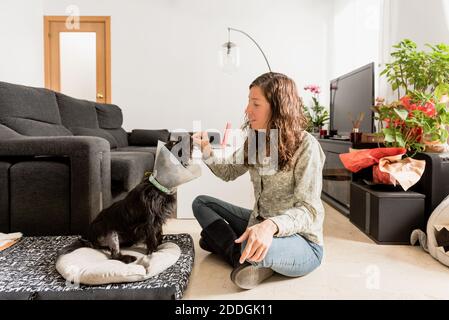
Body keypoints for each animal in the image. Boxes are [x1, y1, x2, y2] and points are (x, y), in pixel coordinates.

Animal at [58, 135, 192, 262]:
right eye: (175, 143)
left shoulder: (158, 220)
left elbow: (159, 234)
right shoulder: (149, 221)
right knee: (114, 255)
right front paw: (154, 252)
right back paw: (128, 258)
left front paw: (161, 246)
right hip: (110, 231)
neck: (158, 186)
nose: (188, 135)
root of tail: (87, 238)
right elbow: (152, 238)